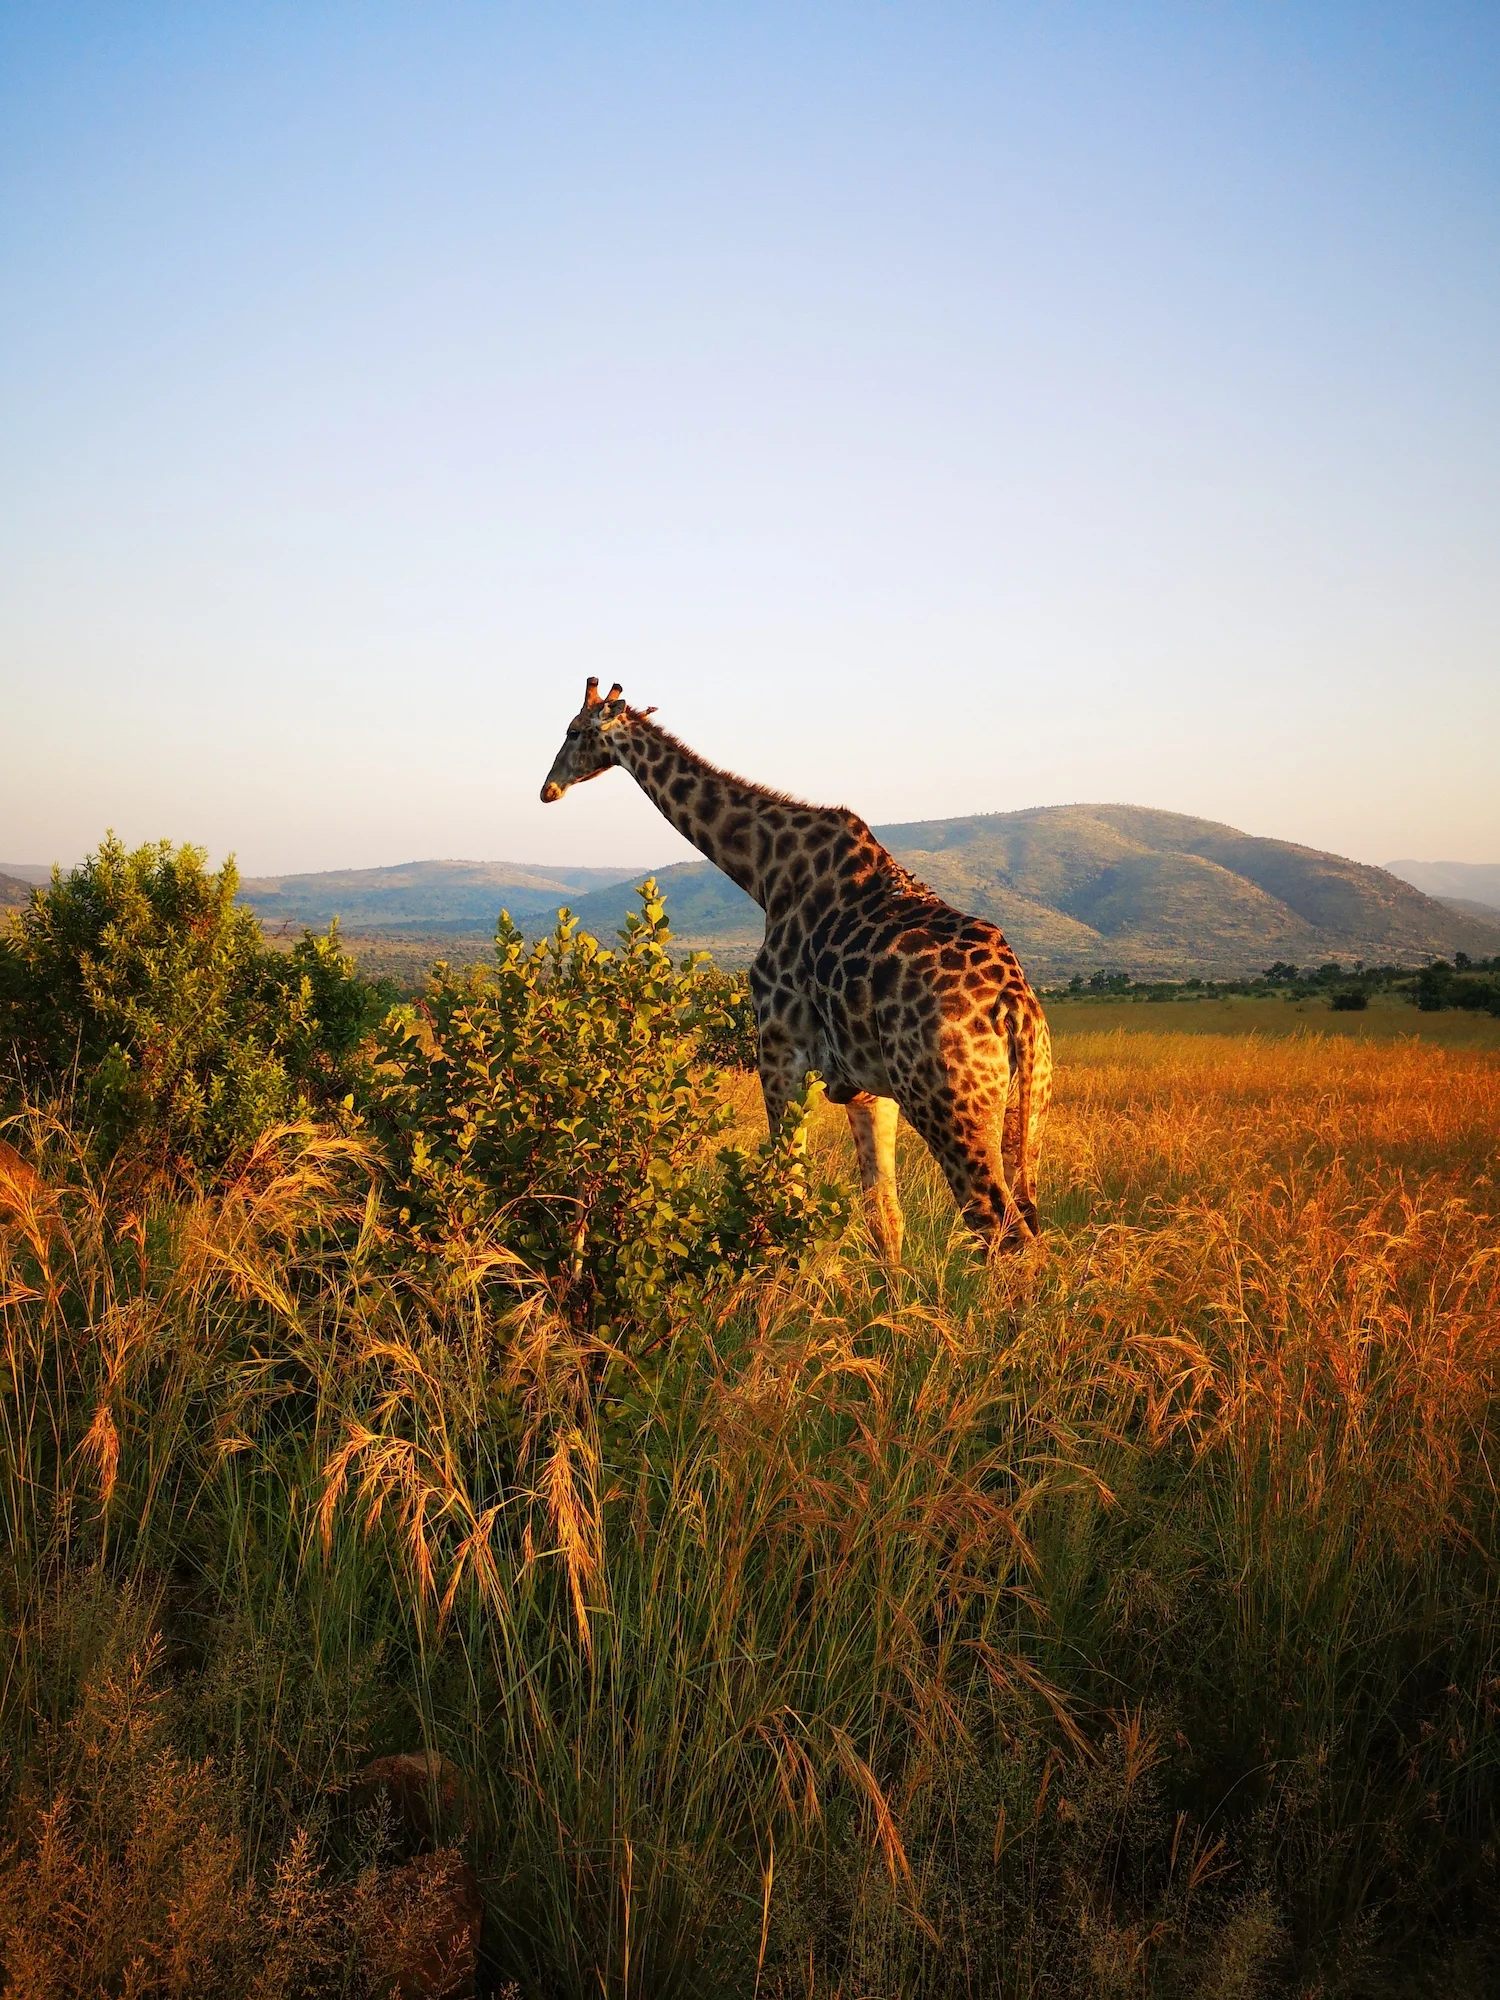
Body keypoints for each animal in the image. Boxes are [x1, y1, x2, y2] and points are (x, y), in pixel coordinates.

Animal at [540, 678, 1052, 1259]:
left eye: (572, 731)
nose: (548, 789)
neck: (765, 871)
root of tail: (1016, 1004)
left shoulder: (780, 1055)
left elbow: (787, 1199)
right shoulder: (868, 1087)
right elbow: (884, 1214)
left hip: (947, 1102)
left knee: (1004, 1232)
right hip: (1025, 1106)